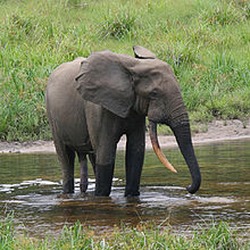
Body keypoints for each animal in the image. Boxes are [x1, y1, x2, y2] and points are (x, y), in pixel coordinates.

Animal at [45, 46, 201, 196]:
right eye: (154, 93)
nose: (187, 187)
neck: (134, 66)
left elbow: (135, 152)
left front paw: (131, 196)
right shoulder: (98, 107)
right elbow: (106, 154)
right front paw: (101, 197)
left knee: (90, 155)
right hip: (52, 116)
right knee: (66, 157)